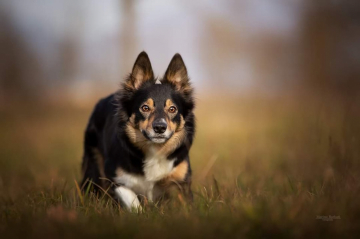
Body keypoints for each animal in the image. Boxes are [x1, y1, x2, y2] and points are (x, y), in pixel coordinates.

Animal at [80, 51, 195, 210]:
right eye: (145, 108)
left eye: (172, 109)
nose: (160, 127)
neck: (154, 150)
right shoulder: (115, 176)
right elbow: (132, 199)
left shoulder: (181, 181)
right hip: (94, 168)